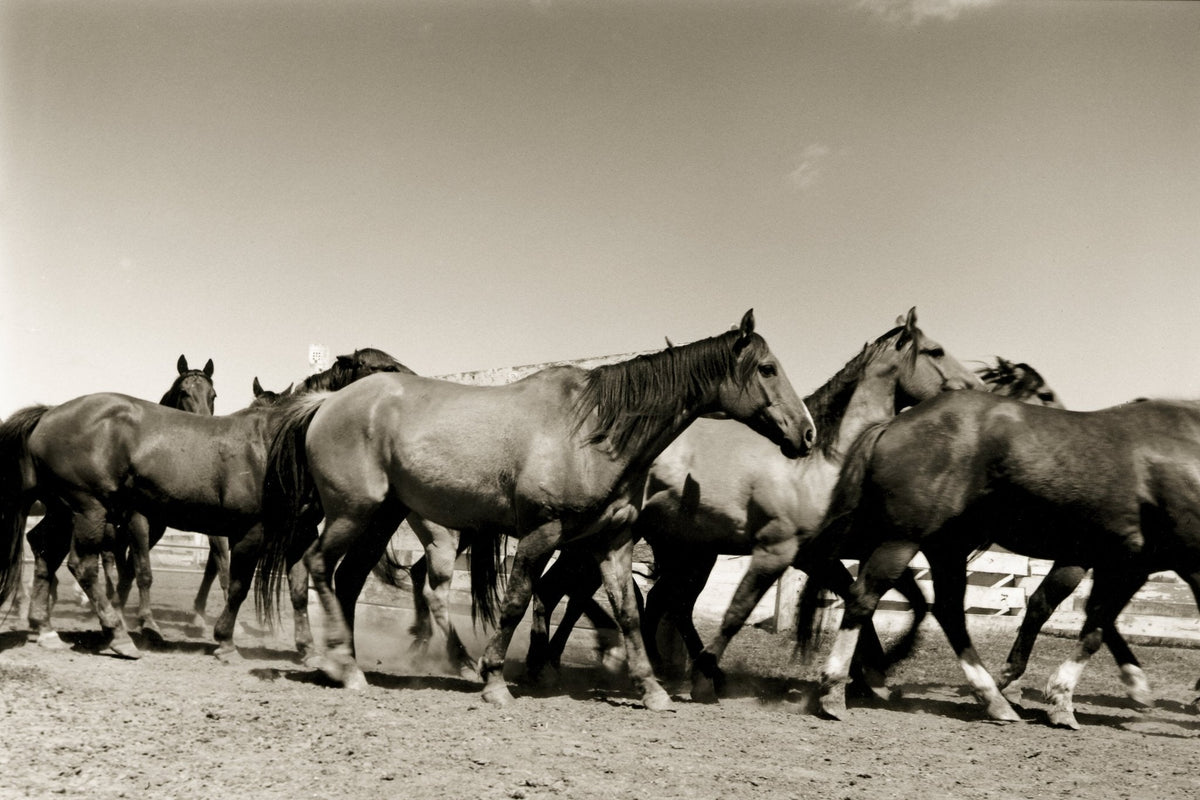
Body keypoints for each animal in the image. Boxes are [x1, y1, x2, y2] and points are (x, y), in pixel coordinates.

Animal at [0, 348, 412, 659]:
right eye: (384, 369)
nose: (418, 387)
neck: (277, 443)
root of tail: (49, 413)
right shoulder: (250, 531)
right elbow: (237, 585)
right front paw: (225, 641)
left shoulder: (300, 533)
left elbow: (298, 590)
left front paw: (307, 649)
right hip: (89, 509)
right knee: (82, 566)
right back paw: (118, 636)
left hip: (63, 510)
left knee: (44, 552)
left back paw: (43, 629)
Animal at [256, 310, 815, 711]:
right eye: (767, 368)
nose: (806, 433)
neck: (593, 432)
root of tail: (326, 405)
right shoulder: (543, 533)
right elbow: (518, 600)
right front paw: (494, 680)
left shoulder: (612, 541)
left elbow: (628, 612)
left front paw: (651, 688)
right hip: (354, 512)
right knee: (315, 567)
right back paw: (340, 665)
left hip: (379, 519)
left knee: (345, 581)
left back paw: (344, 662)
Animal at [523, 308, 982, 700]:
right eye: (936, 351)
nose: (978, 388)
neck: (832, 459)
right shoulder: (814, 556)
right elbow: (857, 602)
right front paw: (871, 674)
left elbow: (902, 602)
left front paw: (872, 674)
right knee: (570, 590)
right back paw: (554, 666)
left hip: (680, 550)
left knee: (645, 600)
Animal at [795, 390, 1200, 729]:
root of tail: (895, 424)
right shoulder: (1152, 564)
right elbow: (1087, 622)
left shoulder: (1125, 564)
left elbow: (1093, 625)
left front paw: (1071, 696)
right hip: (902, 539)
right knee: (864, 597)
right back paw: (834, 691)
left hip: (942, 546)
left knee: (947, 611)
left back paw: (992, 699)